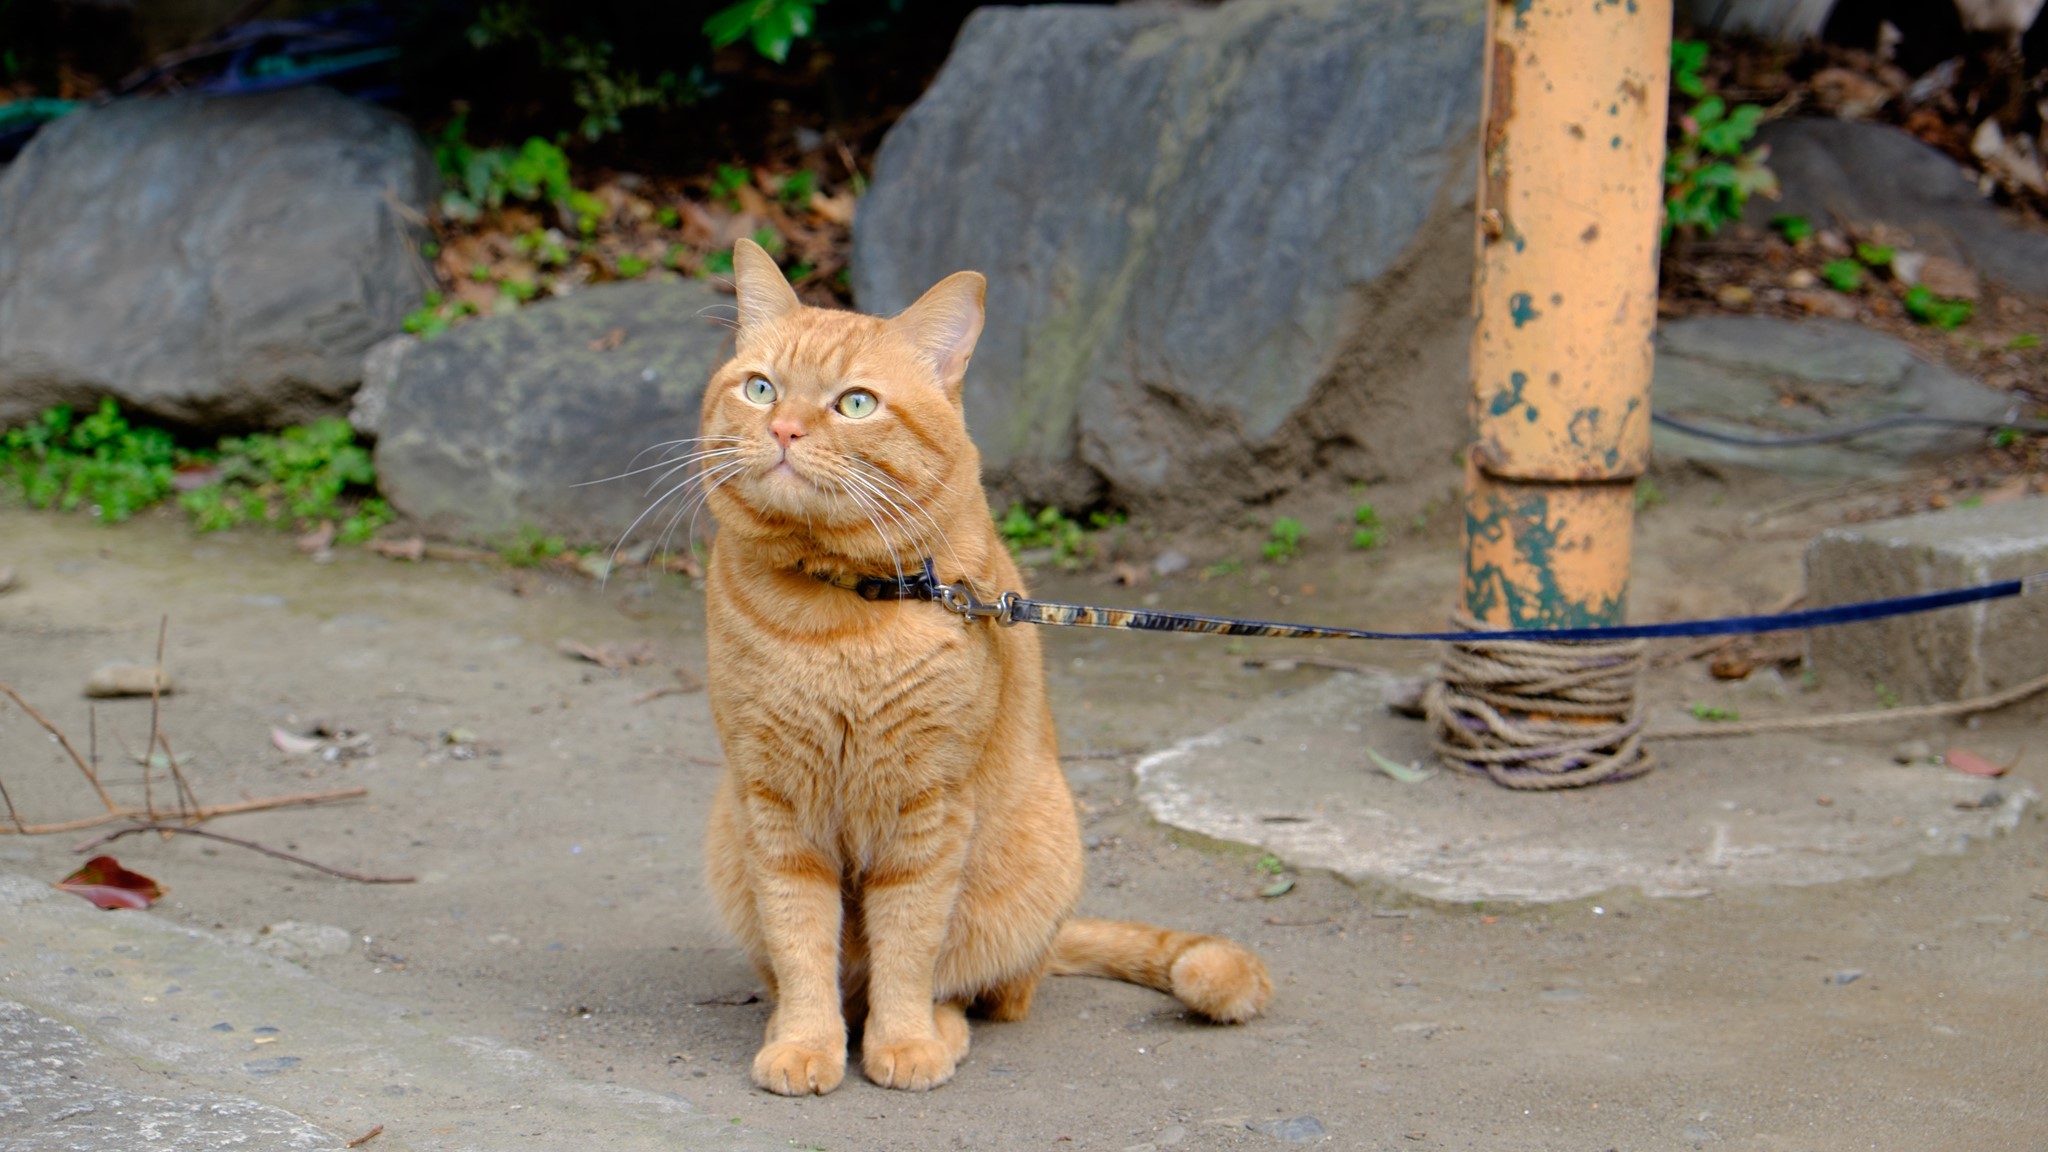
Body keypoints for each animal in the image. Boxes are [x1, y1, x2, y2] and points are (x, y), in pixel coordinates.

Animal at [696, 237, 1269, 1090]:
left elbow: (909, 943)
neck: (838, 613)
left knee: (983, 990)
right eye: (760, 389)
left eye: (855, 404)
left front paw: (902, 1042)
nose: (786, 431)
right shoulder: (775, 807)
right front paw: (804, 1042)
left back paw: (937, 1027)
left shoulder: (929, 805)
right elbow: (801, 943)